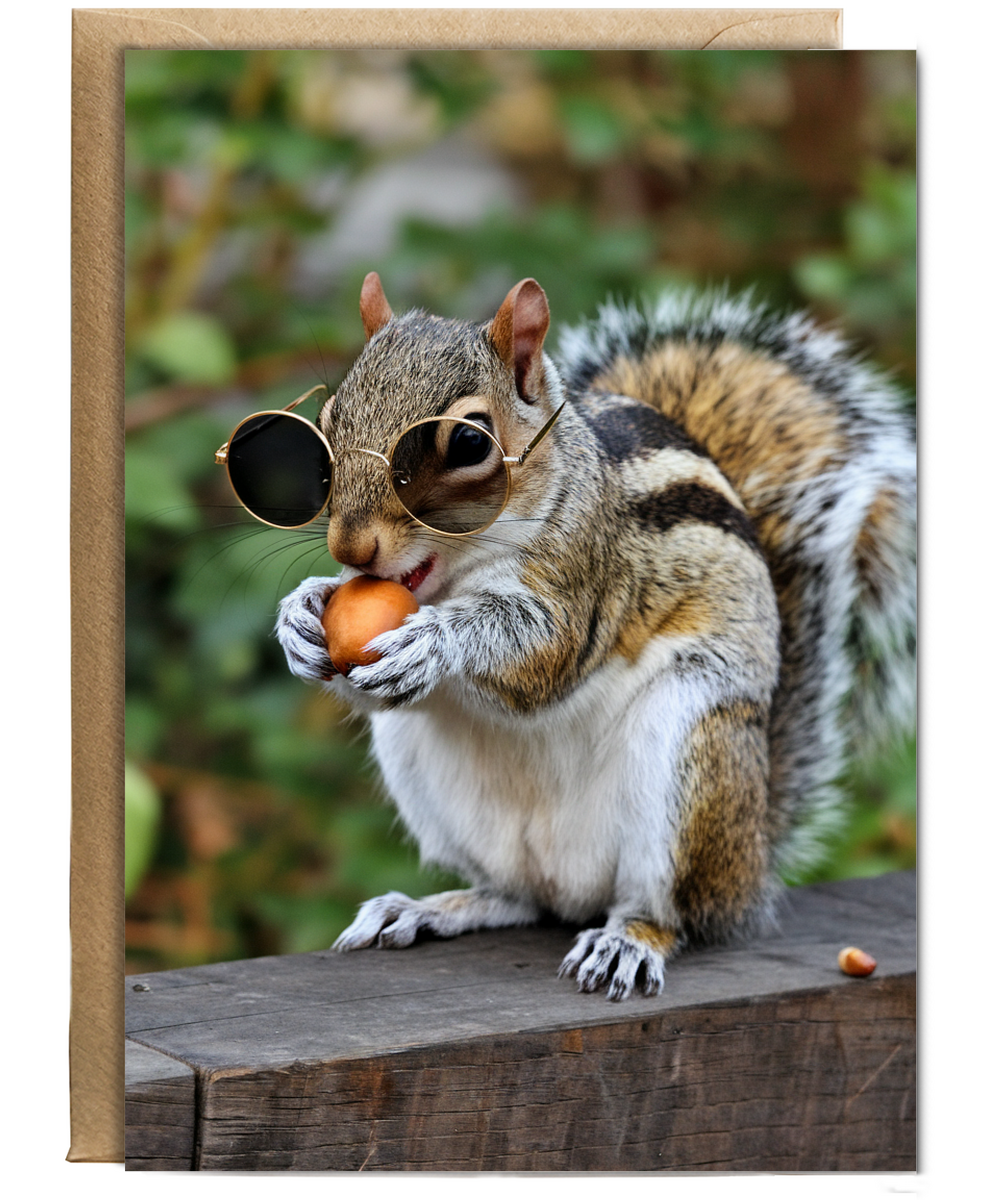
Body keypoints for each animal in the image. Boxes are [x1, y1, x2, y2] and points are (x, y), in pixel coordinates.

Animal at [275, 271, 916, 1001]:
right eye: (329, 422)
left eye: (468, 444)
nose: (350, 547)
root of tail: (747, 866)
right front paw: (300, 615)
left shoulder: (590, 571)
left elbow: (544, 656)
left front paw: (437, 641)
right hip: (436, 789)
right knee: (518, 897)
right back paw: (429, 909)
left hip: (688, 758)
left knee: (669, 909)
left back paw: (627, 942)